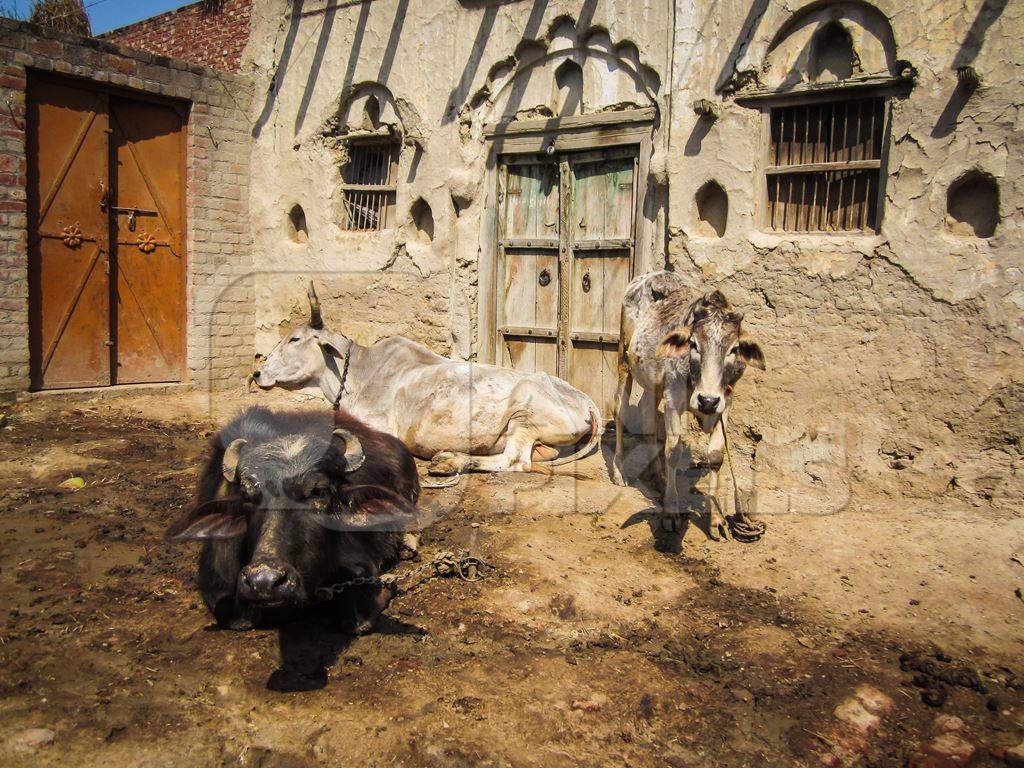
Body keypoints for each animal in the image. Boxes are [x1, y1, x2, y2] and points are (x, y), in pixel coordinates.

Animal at [246, 282, 598, 475]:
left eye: (295, 339)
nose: (257, 373)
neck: (359, 373)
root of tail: (584, 399)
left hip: (524, 416)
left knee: (515, 461)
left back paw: (451, 462)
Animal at [610, 274, 765, 536]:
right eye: (694, 344)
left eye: (734, 349)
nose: (707, 400)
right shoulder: (674, 400)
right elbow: (673, 451)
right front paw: (671, 512)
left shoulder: (725, 404)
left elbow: (715, 456)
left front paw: (716, 519)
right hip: (625, 361)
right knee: (620, 410)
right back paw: (620, 470)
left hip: (654, 383)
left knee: (646, 413)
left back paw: (659, 477)